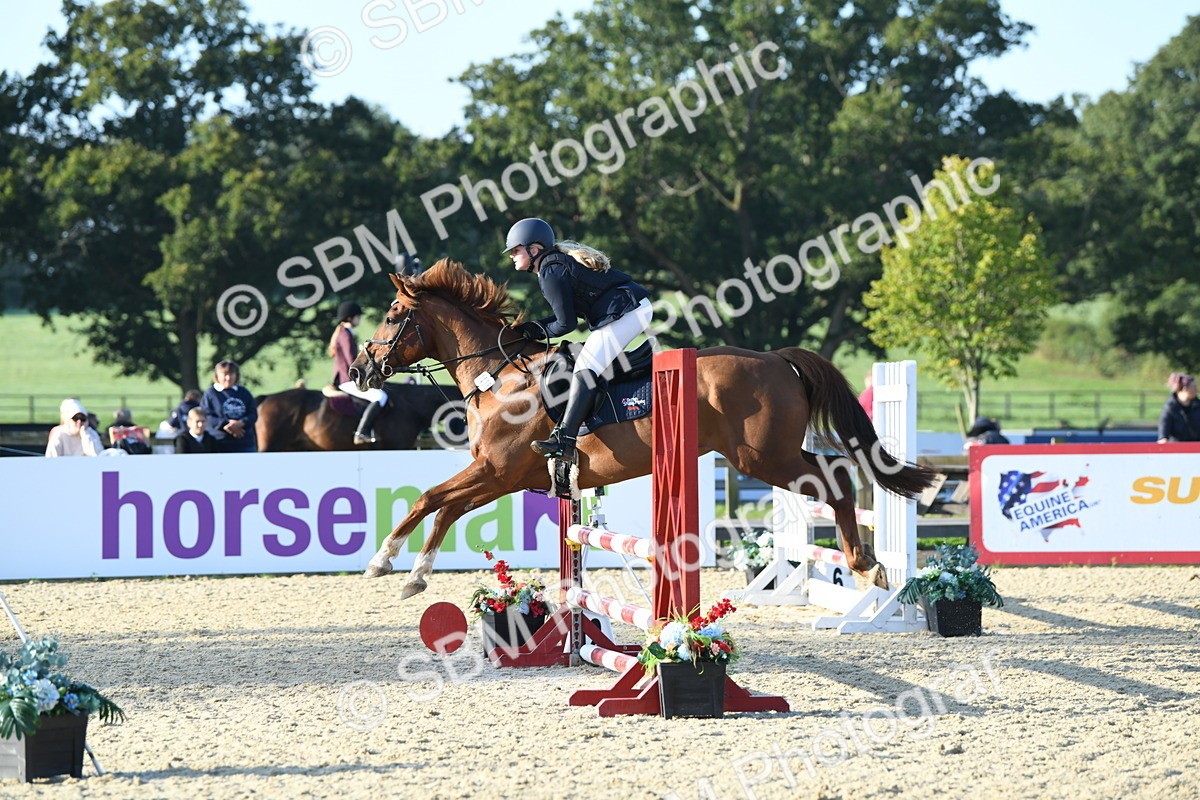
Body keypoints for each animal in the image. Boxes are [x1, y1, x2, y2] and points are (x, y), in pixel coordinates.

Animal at [349, 258, 937, 599]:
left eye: (392, 313)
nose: (359, 370)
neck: (499, 377)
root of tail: (777, 358)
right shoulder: (501, 476)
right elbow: (444, 507)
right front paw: (409, 571)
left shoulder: (496, 470)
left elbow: (429, 498)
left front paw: (387, 563)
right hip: (770, 457)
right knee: (834, 479)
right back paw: (867, 566)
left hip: (765, 457)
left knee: (836, 481)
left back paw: (866, 566)